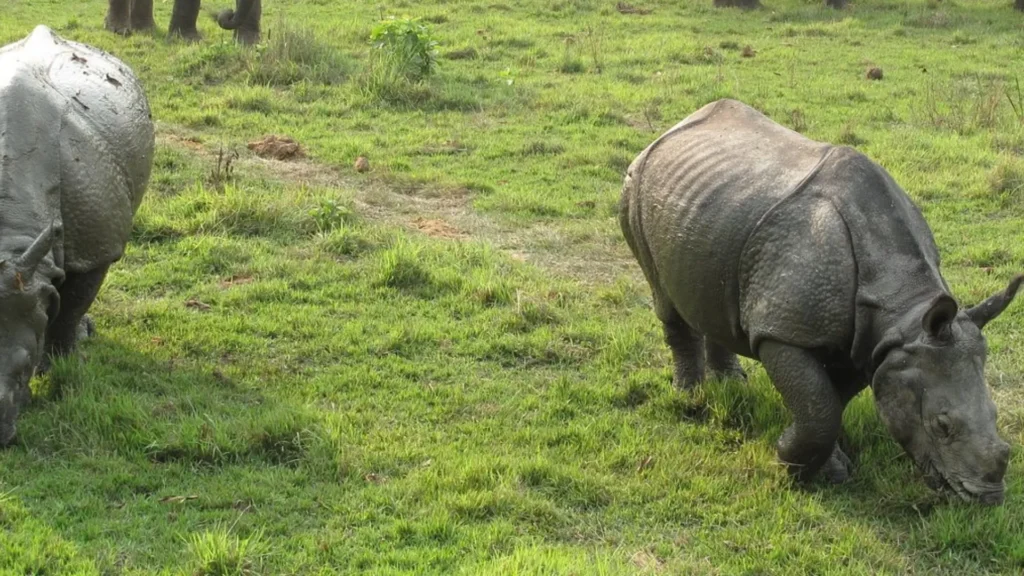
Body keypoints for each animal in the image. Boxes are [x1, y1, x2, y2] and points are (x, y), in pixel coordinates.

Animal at [619, 98, 1021, 504]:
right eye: (942, 425)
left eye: (995, 413)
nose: (987, 498)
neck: (903, 311)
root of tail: (670, 130)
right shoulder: (784, 330)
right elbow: (819, 409)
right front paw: (792, 463)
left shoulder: (872, 345)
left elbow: (831, 402)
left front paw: (825, 466)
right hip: (634, 187)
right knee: (664, 297)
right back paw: (691, 398)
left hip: (714, 211)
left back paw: (732, 385)